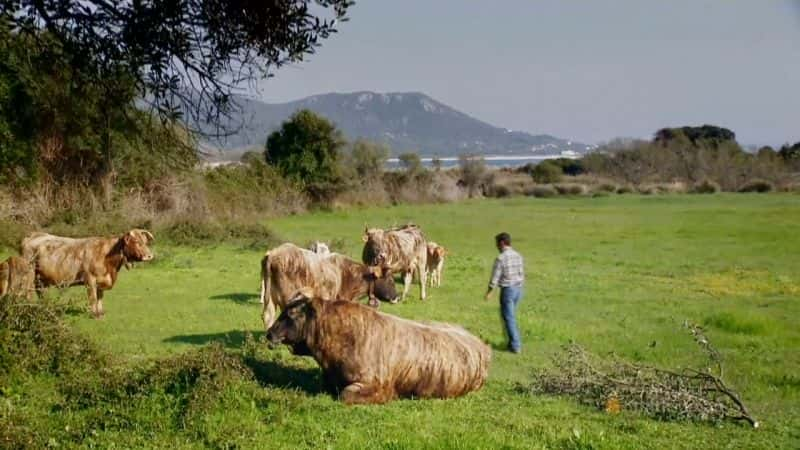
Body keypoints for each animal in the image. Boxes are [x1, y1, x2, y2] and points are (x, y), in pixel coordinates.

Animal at [20, 230, 155, 318]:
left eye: (145, 242)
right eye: (136, 241)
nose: (150, 256)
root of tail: (35, 234)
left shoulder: (101, 280)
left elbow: (100, 296)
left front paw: (101, 313)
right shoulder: (90, 278)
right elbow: (93, 297)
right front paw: (94, 314)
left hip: (41, 277)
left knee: (40, 291)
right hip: (29, 272)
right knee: (28, 291)